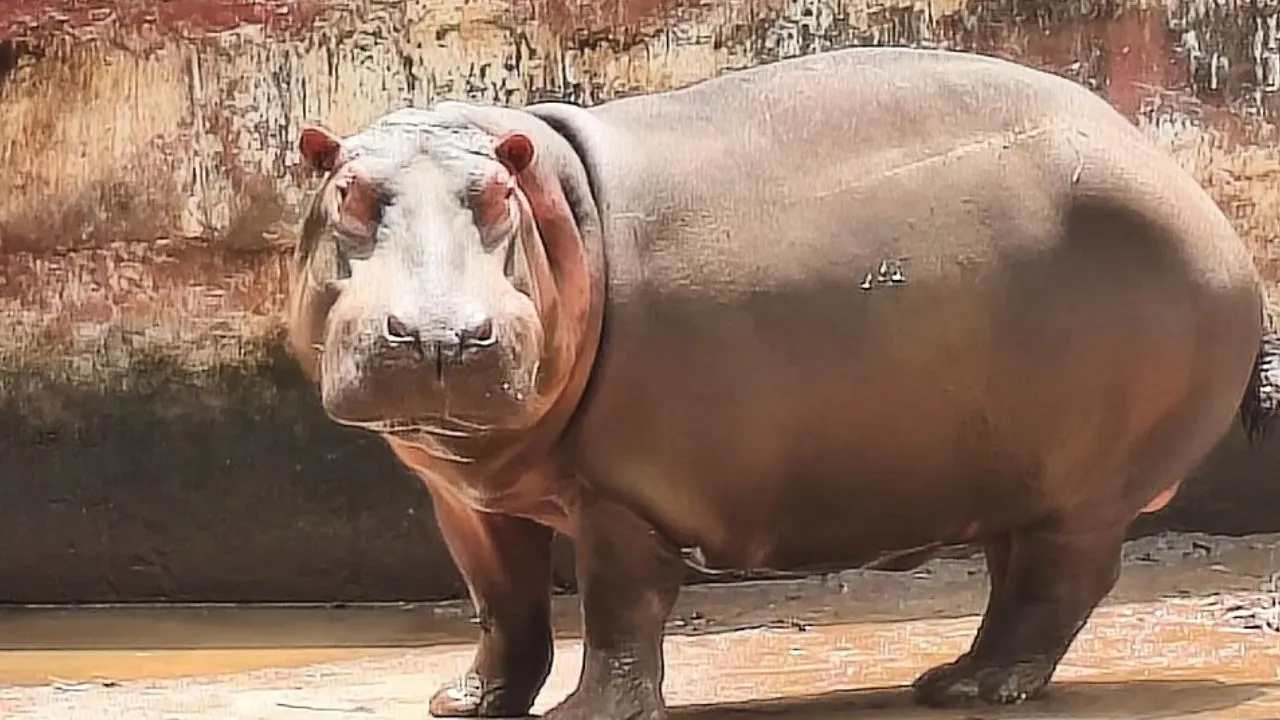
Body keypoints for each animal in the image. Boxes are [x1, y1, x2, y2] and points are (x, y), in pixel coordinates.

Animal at [288, 46, 1280, 719]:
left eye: (497, 197)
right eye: (346, 194)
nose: (440, 335)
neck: (559, 216)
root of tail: (1204, 207)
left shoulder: (623, 499)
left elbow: (617, 613)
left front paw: (585, 714)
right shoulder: (467, 501)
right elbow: (503, 607)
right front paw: (463, 703)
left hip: (1086, 490)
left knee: (1062, 581)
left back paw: (977, 688)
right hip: (1018, 475)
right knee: (1020, 576)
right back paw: (954, 678)